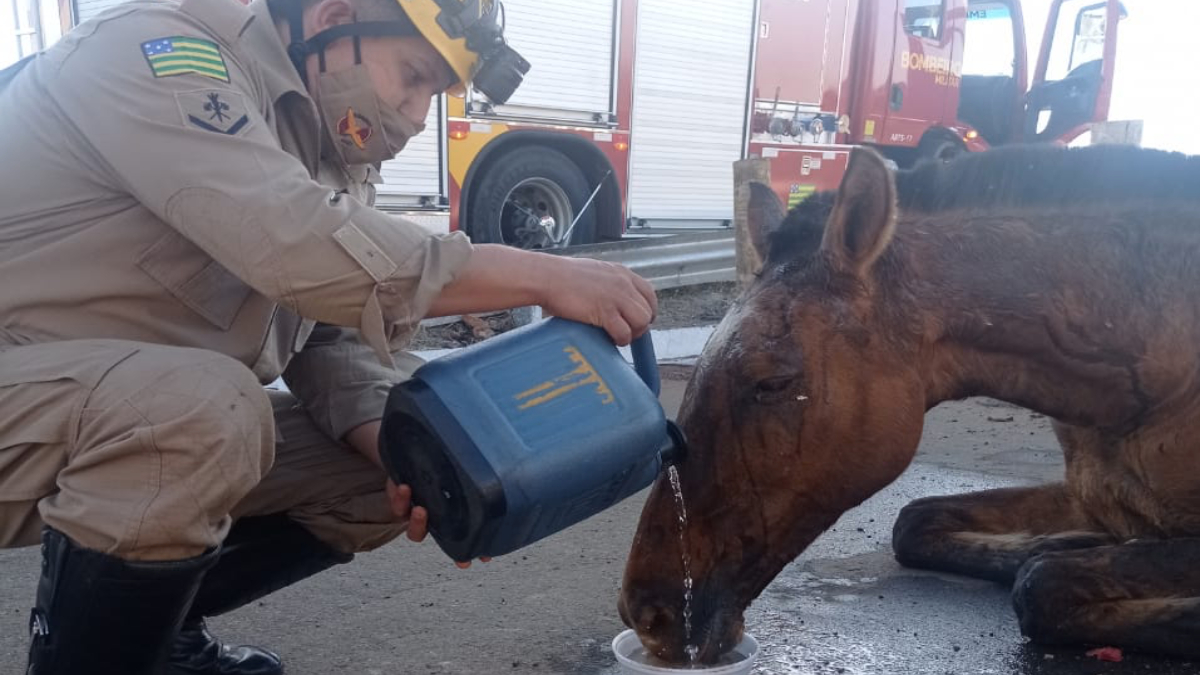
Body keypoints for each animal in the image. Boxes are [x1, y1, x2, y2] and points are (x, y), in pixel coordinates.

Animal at [618, 143, 1200, 665]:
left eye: (773, 382)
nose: (647, 612)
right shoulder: (1088, 495)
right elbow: (916, 522)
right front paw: (1057, 541)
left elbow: (1042, 586)